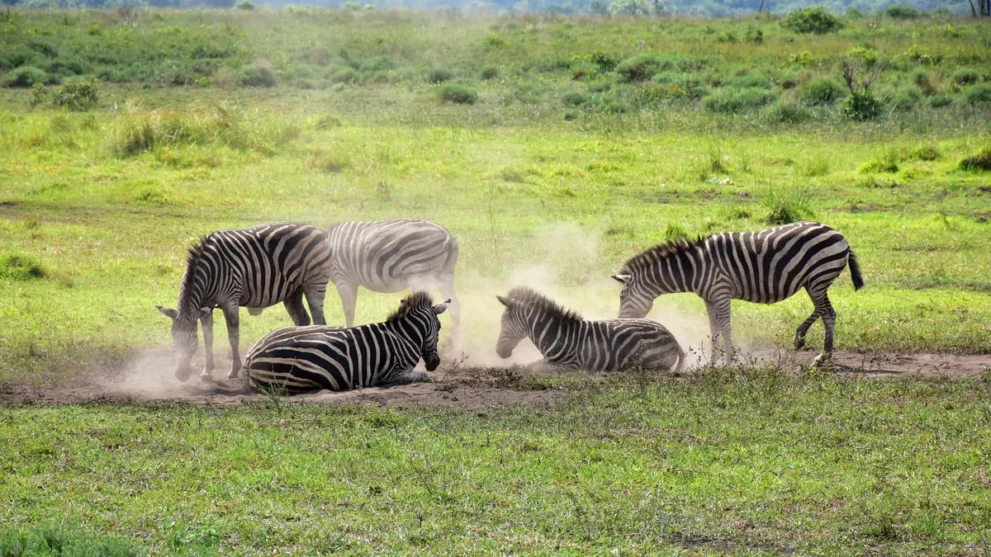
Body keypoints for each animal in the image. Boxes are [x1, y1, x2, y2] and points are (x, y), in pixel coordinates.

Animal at [155, 222, 334, 382]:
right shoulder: (205, 306)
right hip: (293, 290)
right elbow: (208, 337)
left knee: (319, 319)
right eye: (173, 339)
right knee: (302, 319)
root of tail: (317, 229)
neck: (210, 271)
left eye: (193, 340)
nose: (181, 375)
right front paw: (207, 371)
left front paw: (234, 370)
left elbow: (233, 336)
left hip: (314, 283)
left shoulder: (230, 300)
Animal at [242, 292, 452, 390]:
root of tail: (251, 354)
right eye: (440, 327)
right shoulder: (394, 373)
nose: (435, 363)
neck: (403, 336)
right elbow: (424, 377)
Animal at [330, 219, 462, 332]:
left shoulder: (342, 277)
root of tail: (445, 233)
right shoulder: (351, 280)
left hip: (419, 273)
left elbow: (348, 310)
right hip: (445, 275)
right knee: (455, 308)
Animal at [494, 286, 684, 374]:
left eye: (503, 322)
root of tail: (672, 336)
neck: (556, 333)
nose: (499, 353)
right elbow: (529, 366)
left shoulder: (570, 366)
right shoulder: (548, 361)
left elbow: (535, 370)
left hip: (646, 363)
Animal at [616, 222, 864, 364]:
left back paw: (822, 355)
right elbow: (714, 328)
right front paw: (712, 360)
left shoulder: (721, 292)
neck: (696, 267)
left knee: (828, 313)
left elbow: (725, 326)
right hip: (813, 281)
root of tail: (839, 234)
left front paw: (729, 360)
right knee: (823, 310)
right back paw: (806, 340)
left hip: (818, 278)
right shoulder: (708, 298)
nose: (620, 321)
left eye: (621, 296)